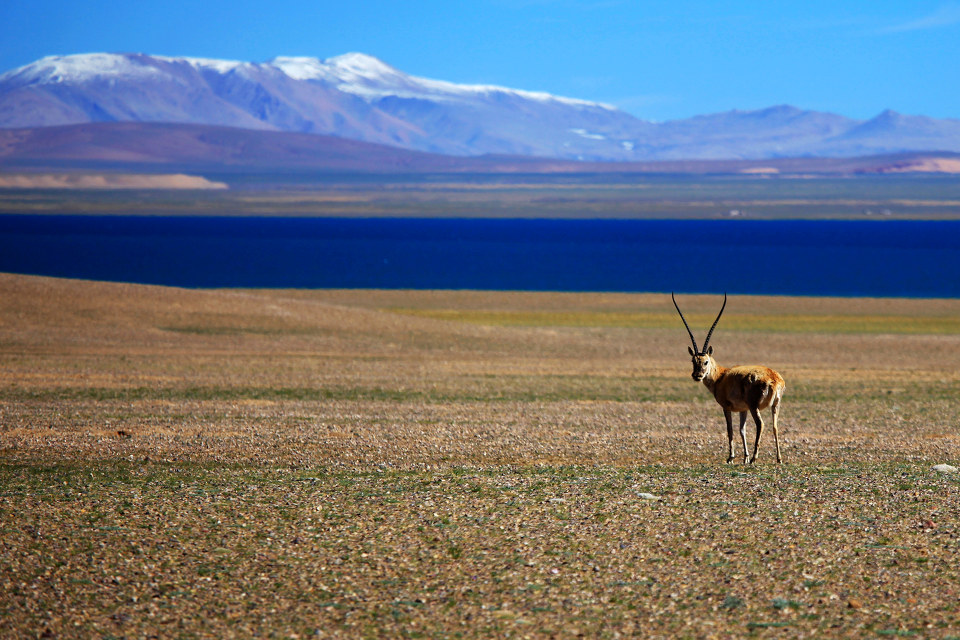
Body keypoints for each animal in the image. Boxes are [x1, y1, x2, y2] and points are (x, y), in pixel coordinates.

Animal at [672, 294, 784, 464]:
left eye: (706, 361)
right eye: (693, 361)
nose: (697, 375)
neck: (721, 376)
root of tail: (773, 378)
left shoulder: (727, 407)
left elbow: (730, 429)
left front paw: (731, 457)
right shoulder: (743, 409)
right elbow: (742, 430)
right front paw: (744, 457)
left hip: (755, 407)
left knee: (761, 424)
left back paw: (755, 458)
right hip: (775, 406)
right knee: (775, 427)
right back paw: (778, 459)